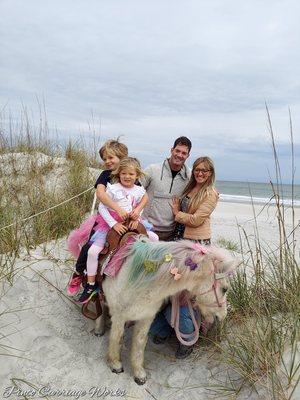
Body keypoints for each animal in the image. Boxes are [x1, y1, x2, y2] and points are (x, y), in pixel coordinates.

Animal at [95, 236, 238, 386]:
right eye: (225, 289)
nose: (222, 316)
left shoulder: (146, 318)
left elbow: (139, 343)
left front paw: (139, 374)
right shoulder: (119, 316)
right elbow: (116, 337)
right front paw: (115, 364)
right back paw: (98, 329)